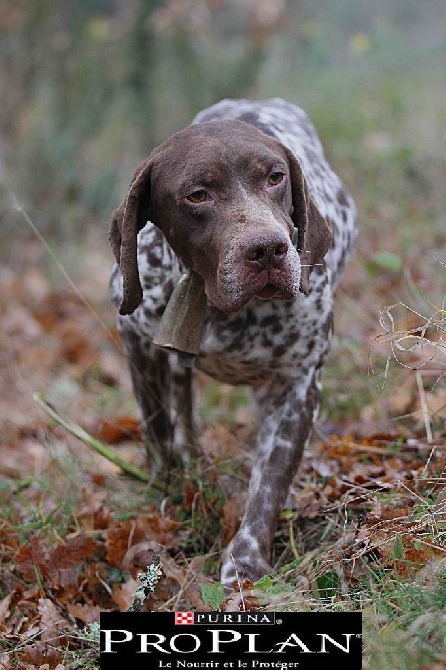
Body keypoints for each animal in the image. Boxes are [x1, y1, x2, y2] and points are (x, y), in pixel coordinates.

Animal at [110, 97, 358, 584]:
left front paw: (244, 564)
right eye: (197, 194)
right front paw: (168, 499)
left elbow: (268, 485)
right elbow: (157, 430)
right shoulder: (138, 341)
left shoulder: (297, 385)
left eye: (275, 177)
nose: (267, 249)